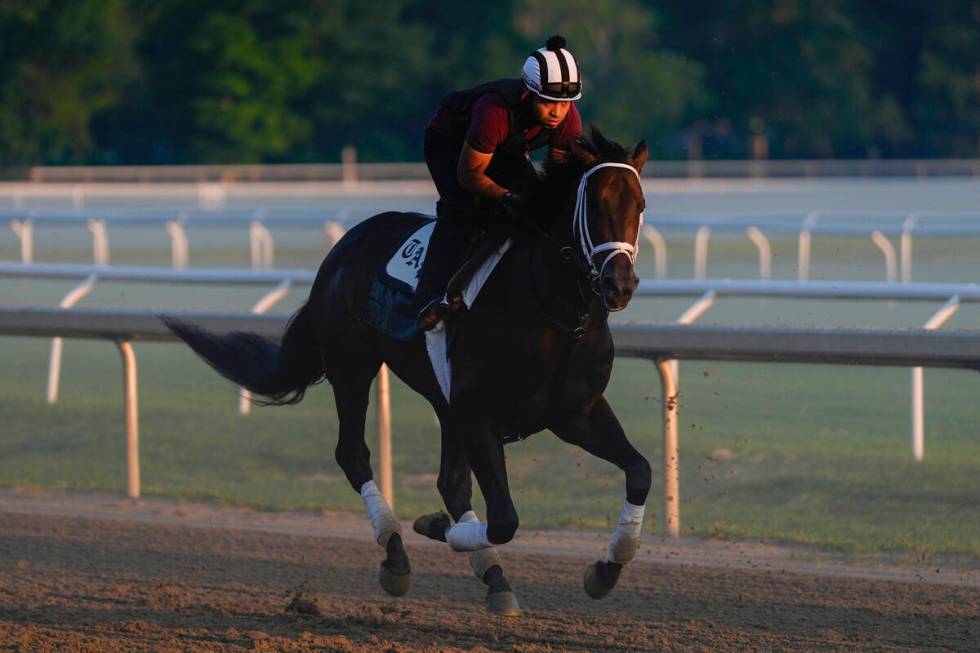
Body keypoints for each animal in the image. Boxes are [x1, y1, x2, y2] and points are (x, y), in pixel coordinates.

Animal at [167, 125, 652, 612]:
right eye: (595, 205)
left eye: (640, 205)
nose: (620, 284)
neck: (551, 314)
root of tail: (343, 248)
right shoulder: (478, 416)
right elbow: (504, 520)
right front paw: (434, 527)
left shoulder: (576, 412)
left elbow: (639, 472)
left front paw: (605, 569)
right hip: (352, 365)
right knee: (354, 455)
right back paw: (397, 555)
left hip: (441, 400)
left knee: (450, 482)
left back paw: (494, 577)